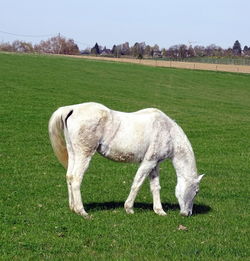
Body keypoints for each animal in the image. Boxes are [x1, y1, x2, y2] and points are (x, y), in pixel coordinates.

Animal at [48, 101, 203, 217]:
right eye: (196, 191)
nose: (187, 214)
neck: (168, 131)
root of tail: (72, 109)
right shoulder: (148, 162)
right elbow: (137, 183)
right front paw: (129, 208)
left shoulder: (155, 164)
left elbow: (155, 187)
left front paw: (159, 211)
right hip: (84, 154)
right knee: (76, 178)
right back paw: (82, 211)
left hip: (73, 152)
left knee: (69, 176)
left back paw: (73, 208)